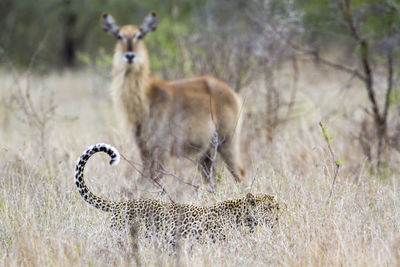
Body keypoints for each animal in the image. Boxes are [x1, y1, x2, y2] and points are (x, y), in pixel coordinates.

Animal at [101, 12, 244, 184]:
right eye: (119, 36)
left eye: (139, 35)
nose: (129, 56)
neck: (145, 98)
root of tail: (233, 93)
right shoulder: (144, 149)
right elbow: (143, 179)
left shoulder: (162, 148)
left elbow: (153, 179)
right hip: (206, 153)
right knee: (214, 177)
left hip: (228, 141)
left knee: (239, 173)